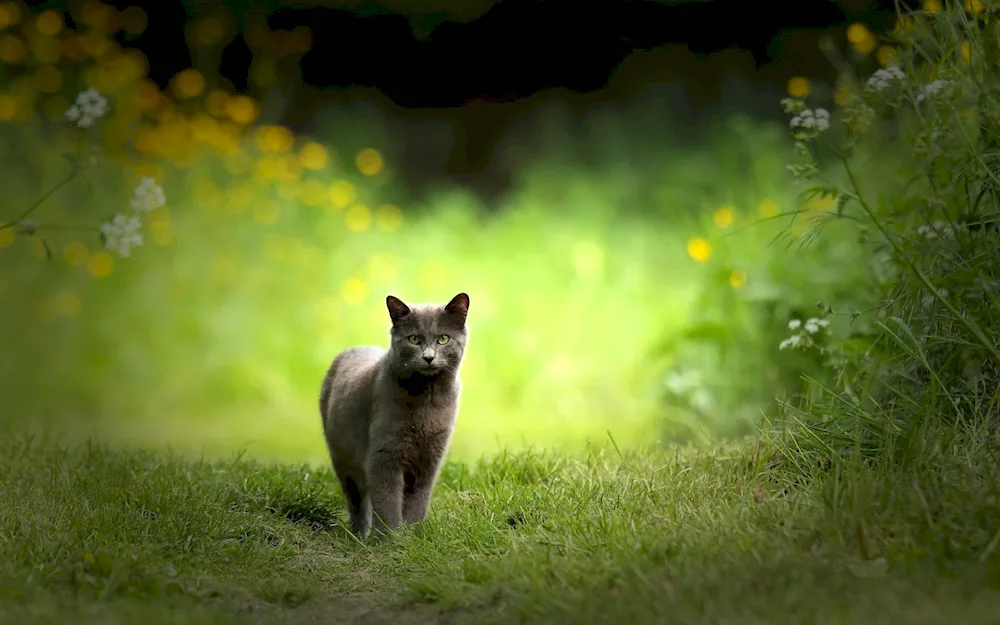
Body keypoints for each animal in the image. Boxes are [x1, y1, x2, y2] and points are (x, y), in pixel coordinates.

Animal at [320, 292, 472, 536]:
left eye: (443, 339)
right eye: (414, 339)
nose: (428, 357)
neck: (427, 401)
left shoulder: (430, 459)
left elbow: (418, 502)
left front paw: (413, 536)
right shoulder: (384, 456)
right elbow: (387, 504)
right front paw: (389, 539)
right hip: (342, 457)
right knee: (357, 499)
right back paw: (359, 535)